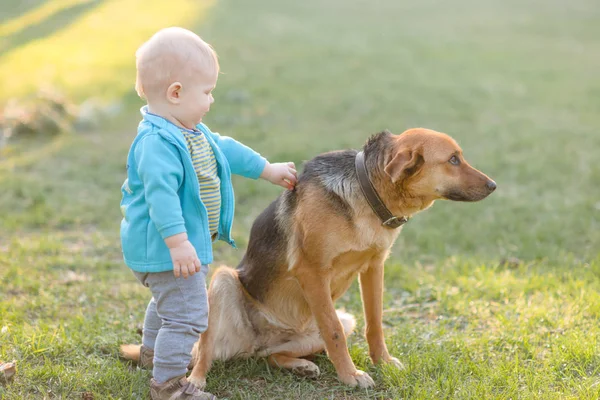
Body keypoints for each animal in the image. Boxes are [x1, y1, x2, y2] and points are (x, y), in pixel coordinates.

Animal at [123, 127, 496, 388]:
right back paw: (196, 379)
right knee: (206, 350)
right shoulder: (312, 273)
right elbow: (334, 332)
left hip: (323, 325)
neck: (366, 192)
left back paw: (300, 365)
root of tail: (255, 342)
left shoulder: (374, 268)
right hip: (223, 281)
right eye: (453, 160)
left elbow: (375, 323)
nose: (494, 185)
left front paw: (382, 362)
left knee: (270, 356)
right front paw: (351, 376)